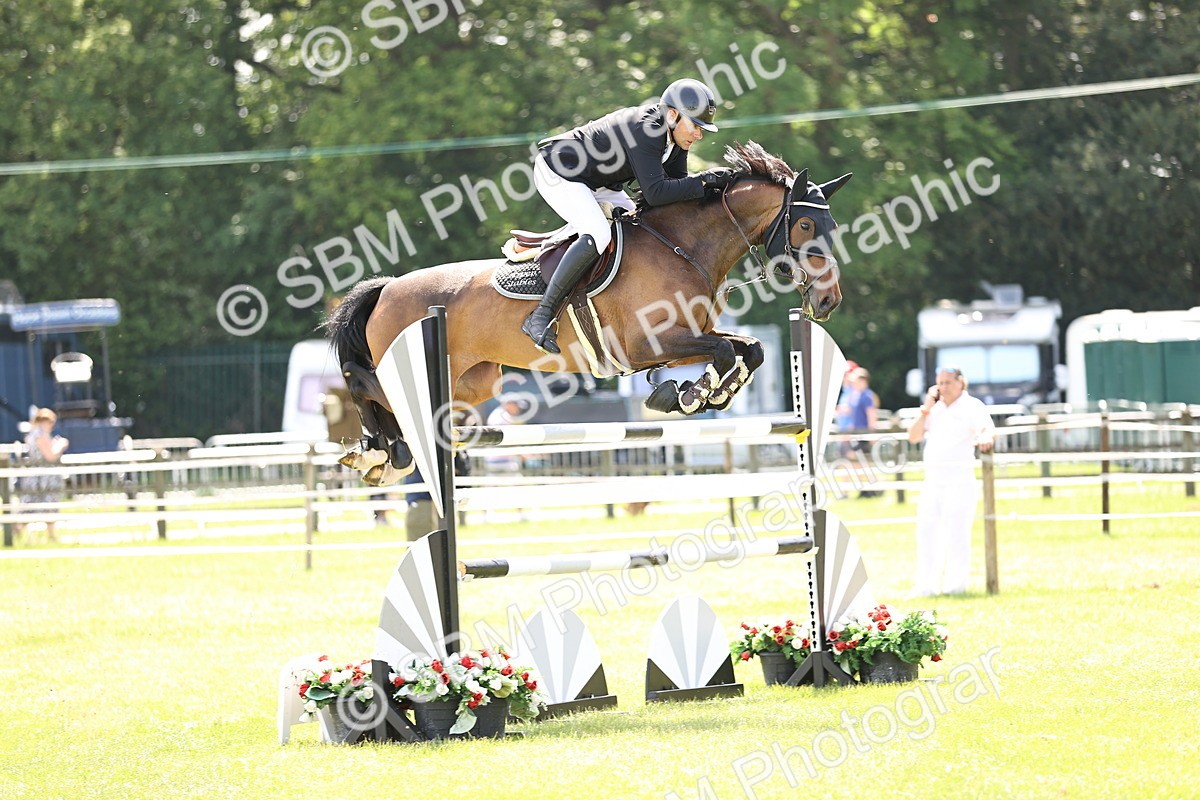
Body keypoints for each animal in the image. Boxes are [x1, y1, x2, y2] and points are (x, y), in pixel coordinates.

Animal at [324, 141, 850, 485]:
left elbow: (749, 349)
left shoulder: (681, 340)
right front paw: (690, 395)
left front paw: (702, 393)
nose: (829, 301)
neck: (681, 246)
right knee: (362, 379)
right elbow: (724, 352)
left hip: (473, 383)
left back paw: (384, 455)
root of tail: (387, 288)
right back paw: (379, 452)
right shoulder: (647, 345)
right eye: (805, 225)